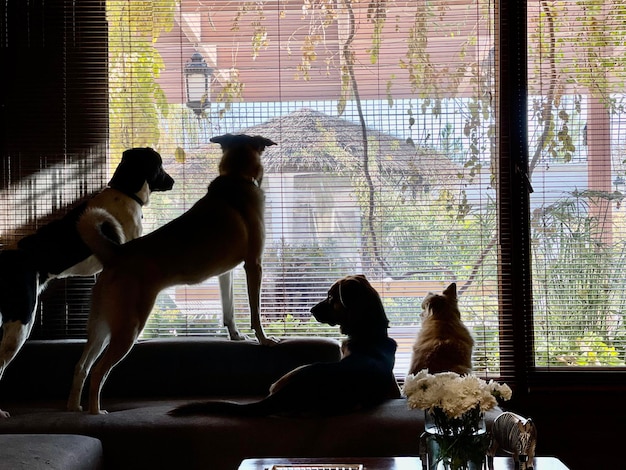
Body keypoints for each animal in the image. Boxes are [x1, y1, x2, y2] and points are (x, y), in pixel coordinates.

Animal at [66, 134, 276, 414]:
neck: (237, 177)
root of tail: (116, 253)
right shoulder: (254, 264)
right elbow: (255, 312)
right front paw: (263, 339)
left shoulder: (226, 274)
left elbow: (229, 308)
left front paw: (234, 335)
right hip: (128, 327)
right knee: (99, 370)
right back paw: (95, 411)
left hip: (100, 328)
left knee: (82, 365)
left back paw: (74, 407)